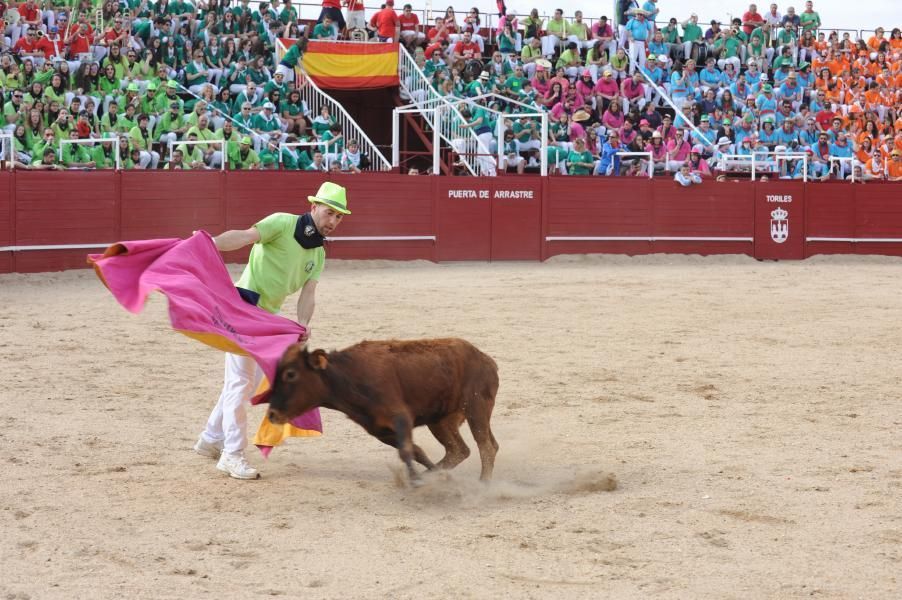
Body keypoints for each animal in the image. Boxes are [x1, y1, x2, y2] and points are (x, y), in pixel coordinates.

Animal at [268, 338, 502, 482]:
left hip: (476, 407)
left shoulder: (400, 416)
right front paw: (428, 477)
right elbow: (415, 451)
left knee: (485, 446)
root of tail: (486, 359)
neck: (348, 376)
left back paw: (484, 483)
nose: (271, 414)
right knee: (459, 450)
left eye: (290, 374)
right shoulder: (380, 430)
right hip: (441, 420)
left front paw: (418, 481)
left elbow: (406, 450)